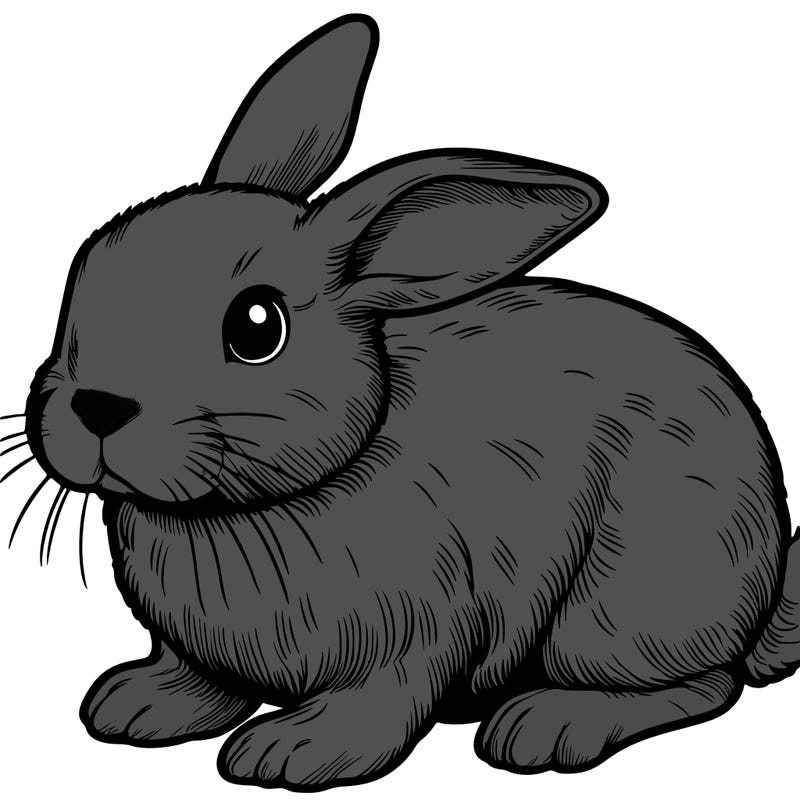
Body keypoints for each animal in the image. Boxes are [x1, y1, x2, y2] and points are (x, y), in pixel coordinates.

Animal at [10, 11, 799, 792]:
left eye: (256, 327)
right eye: (87, 266)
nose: (97, 407)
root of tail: (763, 589)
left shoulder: (417, 630)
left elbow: (381, 700)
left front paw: (292, 751)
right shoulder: (199, 651)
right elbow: (200, 680)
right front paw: (136, 705)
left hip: (622, 605)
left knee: (704, 684)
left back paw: (547, 725)